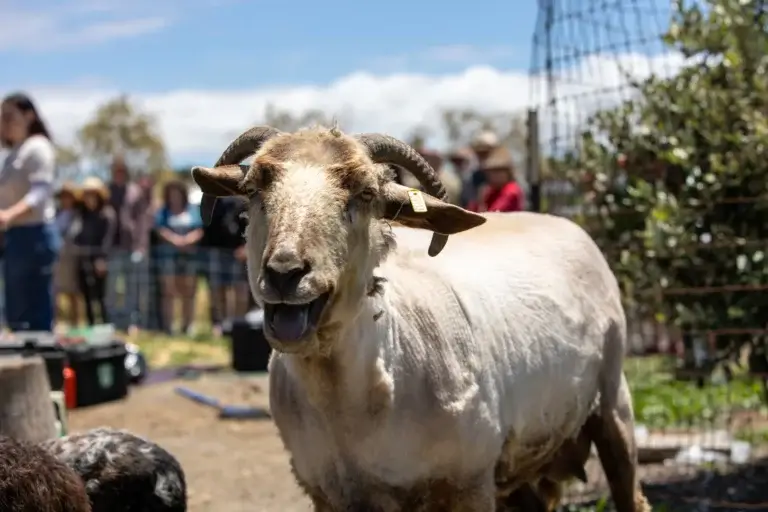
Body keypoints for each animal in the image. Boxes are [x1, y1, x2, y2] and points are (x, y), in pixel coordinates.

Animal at [191, 125, 650, 512]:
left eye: (365, 194)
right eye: (253, 189)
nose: (284, 272)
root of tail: (559, 220)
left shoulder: (470, 484)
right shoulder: (327, 493)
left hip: (613, 403)